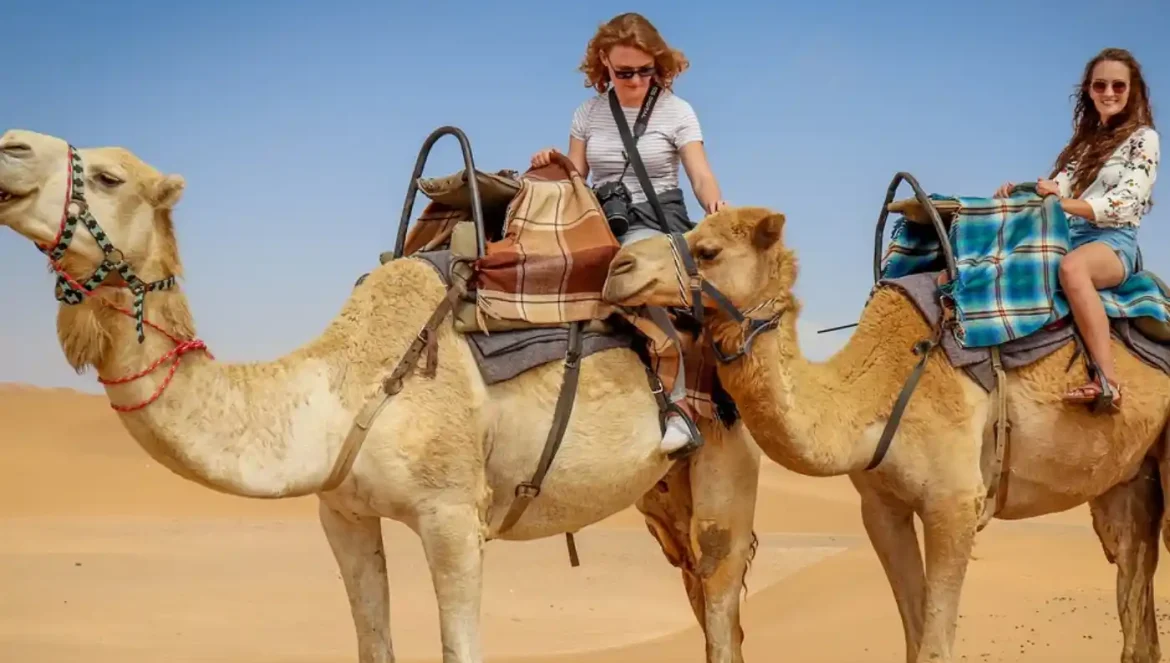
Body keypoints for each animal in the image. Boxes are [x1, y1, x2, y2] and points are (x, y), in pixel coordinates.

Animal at [0, 129, 764, 663]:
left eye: (108, 176)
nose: (10, 145)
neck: (343, 391)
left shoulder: (453, 514)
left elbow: (460, 646)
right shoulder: (341, 513)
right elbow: (373, 641)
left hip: (726, 461)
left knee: (720, 600)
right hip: (662, 493)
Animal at [602, 204, 1170, 663]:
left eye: (708, 250)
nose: (617, 269)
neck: (875, 392)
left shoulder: (955, 502)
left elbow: (936, 647)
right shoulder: (880, 507)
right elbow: (914, 637)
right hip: (1128, 480)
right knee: (1134, 590)